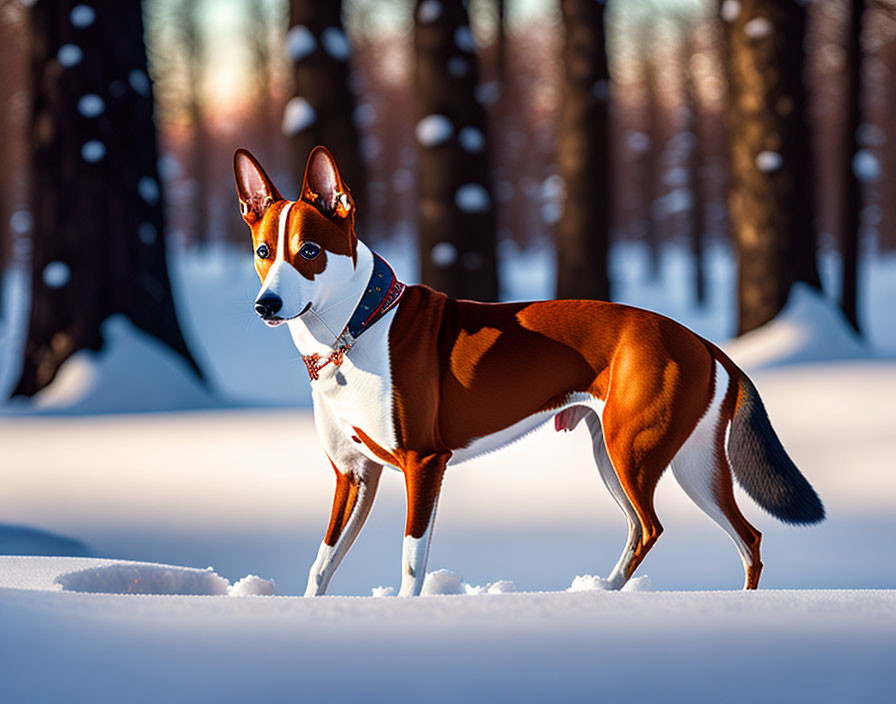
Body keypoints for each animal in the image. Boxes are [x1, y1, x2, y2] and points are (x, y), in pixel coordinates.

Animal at [233, 146, 824, 596]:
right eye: (263, 251)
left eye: (310, 250)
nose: (266, 305)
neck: (357, 328)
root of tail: (699, 340)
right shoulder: (353, 475)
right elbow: (321, 564)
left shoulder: (423, 463)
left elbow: (411, 561)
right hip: (675, 460)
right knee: (733, 535)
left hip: (633, 450)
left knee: (660, 527)